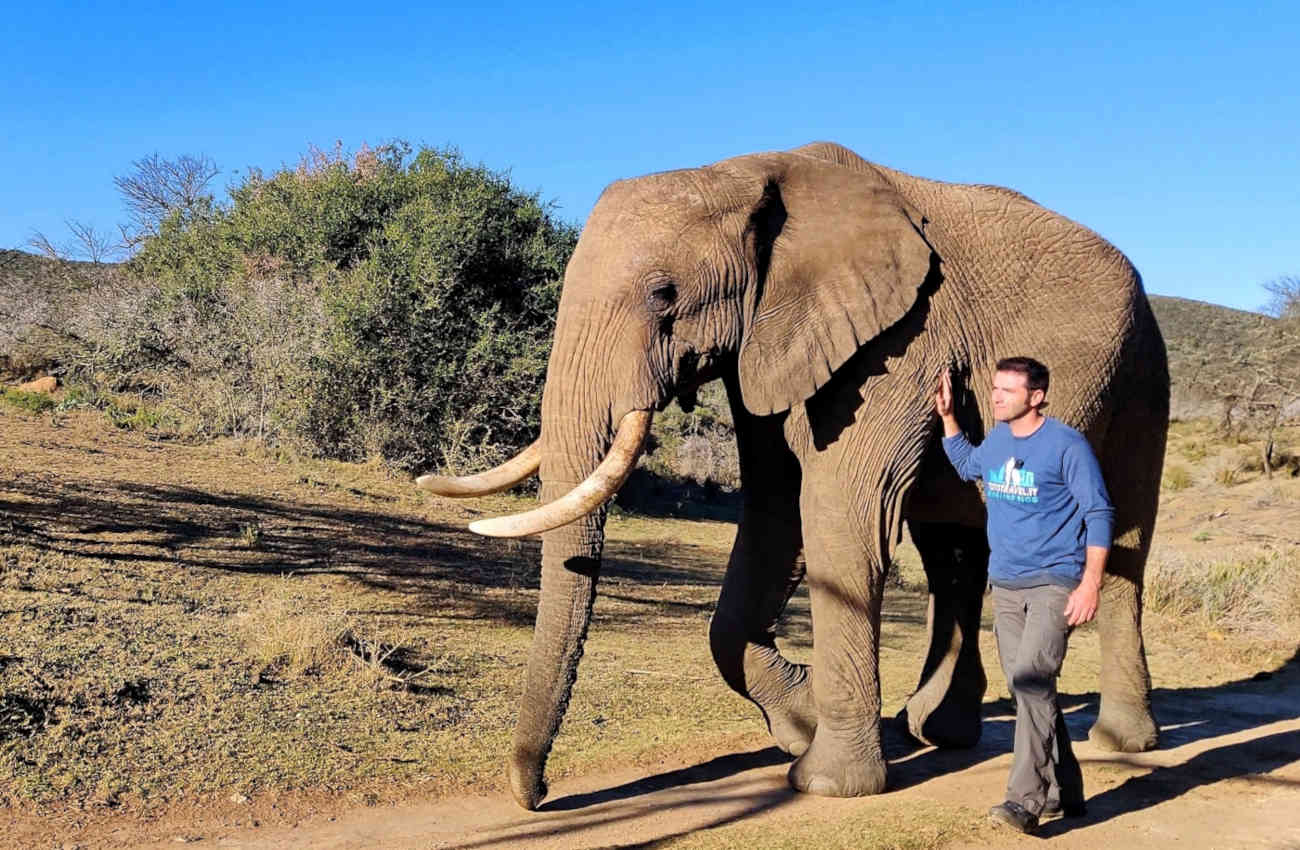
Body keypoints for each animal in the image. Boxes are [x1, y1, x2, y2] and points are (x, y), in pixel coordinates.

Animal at [420, 141, 1168, 810]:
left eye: (663, 294)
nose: (538, 794)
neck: (743, 171)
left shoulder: (901, 339)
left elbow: (838, 515)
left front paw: (826, 781)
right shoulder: (771, 341)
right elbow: (773, 514)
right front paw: (803, 720)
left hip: (1141, 370)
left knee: (1121, 547)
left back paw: (1119, 742)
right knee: (952, 550)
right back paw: (935, 732)